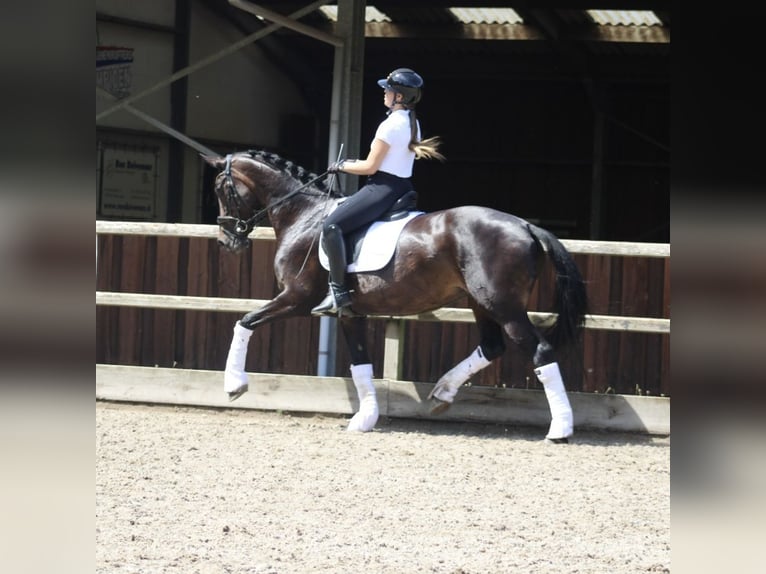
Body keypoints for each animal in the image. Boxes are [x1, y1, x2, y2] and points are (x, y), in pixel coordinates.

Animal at [202, 151, 588, 444]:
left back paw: (560, 430)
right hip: (482, 303)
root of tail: (525, 225)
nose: (227, 241)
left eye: (221, 187)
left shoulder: (296, 298)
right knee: (492, 347)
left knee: (540, 351)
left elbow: (244, 322)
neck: (304, 216)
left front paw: (234, 385)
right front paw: (365, 419)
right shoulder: (350, 313)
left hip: (504, 307)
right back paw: (442, 392)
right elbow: (360, 364)